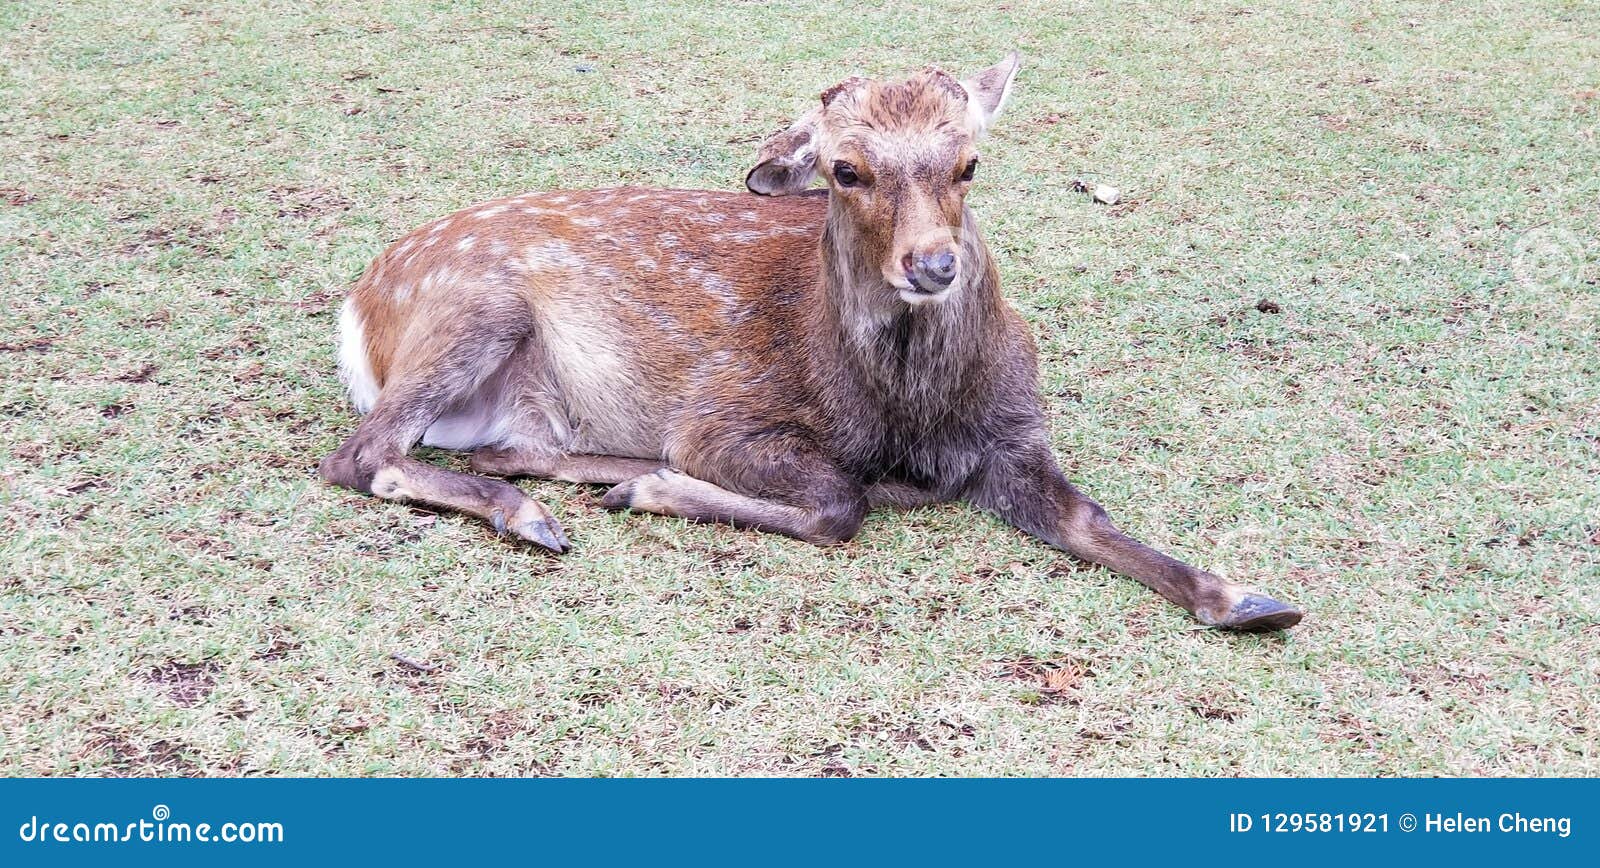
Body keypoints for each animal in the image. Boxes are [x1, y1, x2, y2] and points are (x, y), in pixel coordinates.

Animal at [318, 53, 1304, 631]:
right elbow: (839, 502)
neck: (910, 417)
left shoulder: (1020, 436)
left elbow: (1086, 517)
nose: (934, 265)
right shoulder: (723, 417)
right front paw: (662, 490)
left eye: (969, 163)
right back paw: (546, 512)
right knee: (362, 455)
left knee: (501, 448)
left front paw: (1248, 598)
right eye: (845, 169)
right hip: (475, 308)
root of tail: (358, 312)